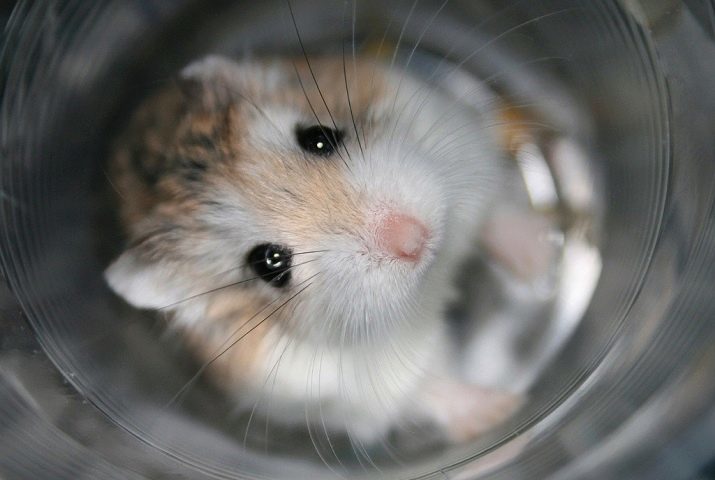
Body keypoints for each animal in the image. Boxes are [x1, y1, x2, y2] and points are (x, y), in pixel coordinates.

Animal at [104, 55, 522, 445]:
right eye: (269, 264)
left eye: (318, 137)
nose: (413, 240)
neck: (430, 281)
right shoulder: (362, 388)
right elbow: (428, 386)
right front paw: (500, 412)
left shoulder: (462, 147)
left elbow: (497, 216)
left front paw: (535, 259)